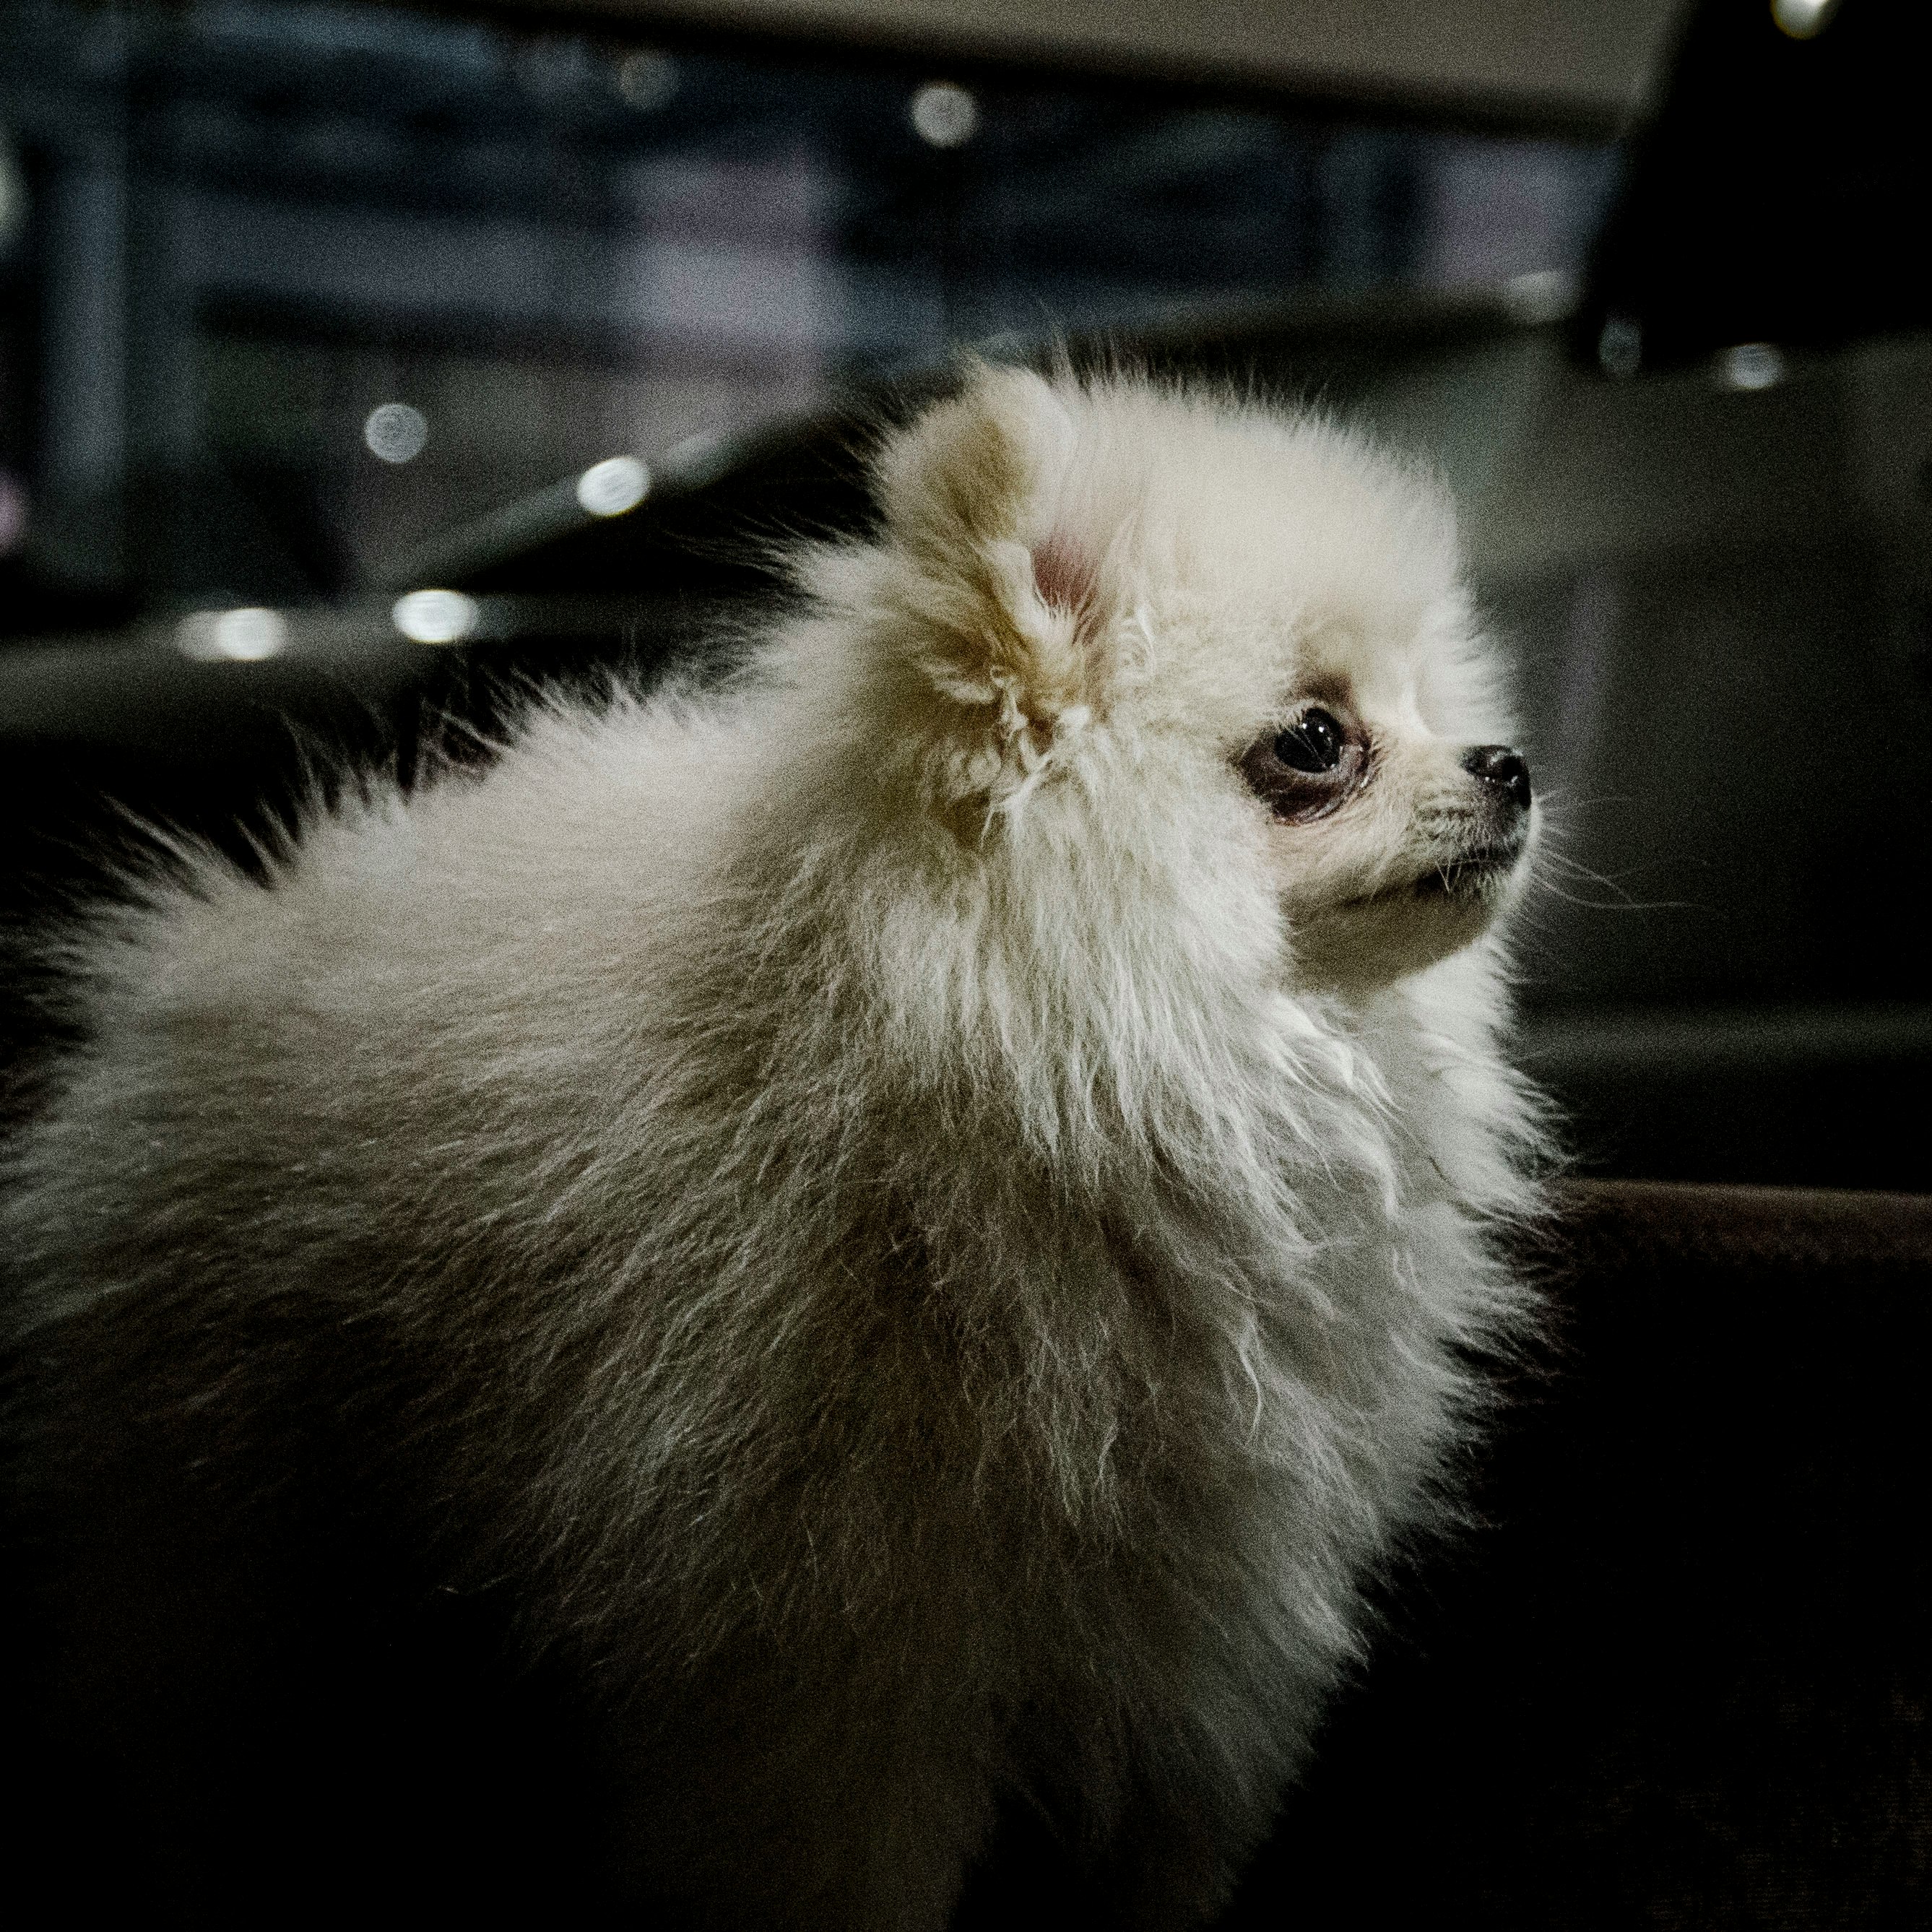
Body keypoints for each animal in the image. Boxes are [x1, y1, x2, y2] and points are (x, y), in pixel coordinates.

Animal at [0, 365, 1538, 1932]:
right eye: (1316, 739)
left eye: (1437, 706)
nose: (1510, 764)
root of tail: (212, 940)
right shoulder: (827, 1664)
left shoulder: (1201, 1647)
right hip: (233, 1551)